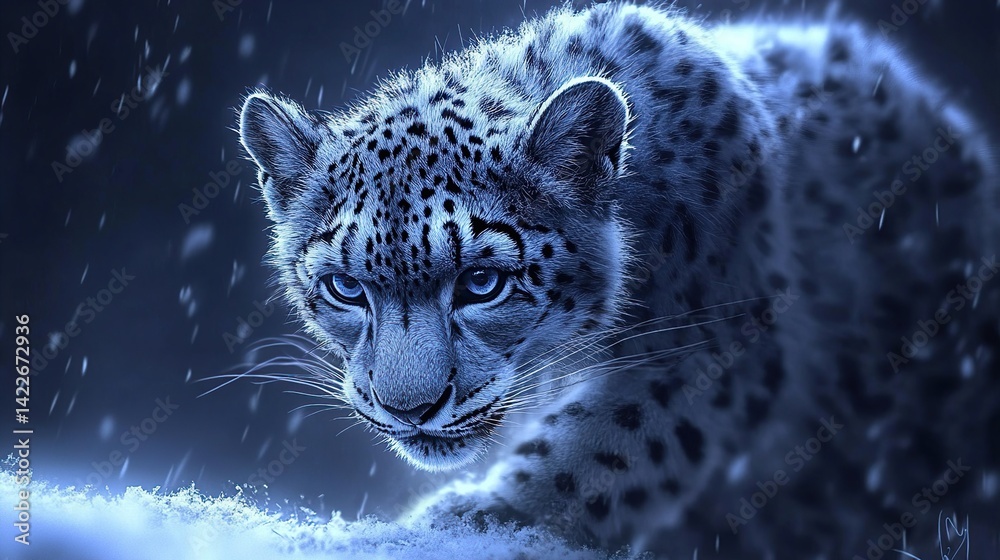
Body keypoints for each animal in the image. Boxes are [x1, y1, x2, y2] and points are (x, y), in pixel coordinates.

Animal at [237, 3, 1000, 557]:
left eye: (482, 283)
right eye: (345, 288)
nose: (411, 408)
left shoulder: (711, 344)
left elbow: (594, 454)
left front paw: (460, 519)